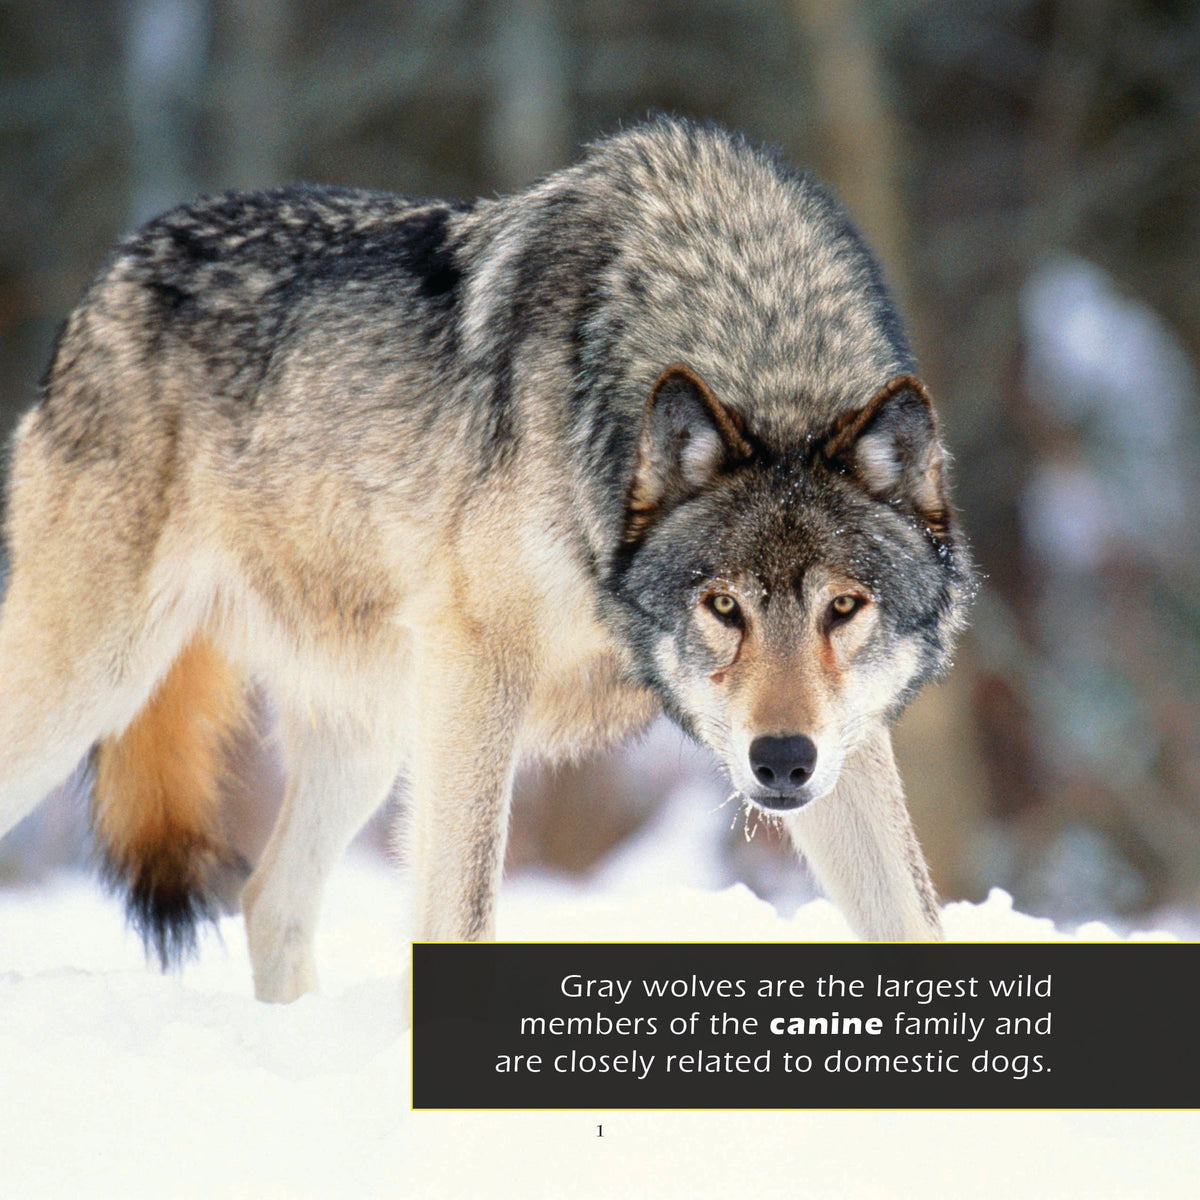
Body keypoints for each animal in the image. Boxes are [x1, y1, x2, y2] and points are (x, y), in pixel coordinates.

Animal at [0, 118, 972, 1001]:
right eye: (724, 605)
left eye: (844, 608)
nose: (780, 761)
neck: (753, 333)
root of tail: (116, 265)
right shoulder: (479, 669)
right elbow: (461, 913)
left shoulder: (849, 742)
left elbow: (914, 918)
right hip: (93, 683)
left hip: (373, 730)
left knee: (269, 899)